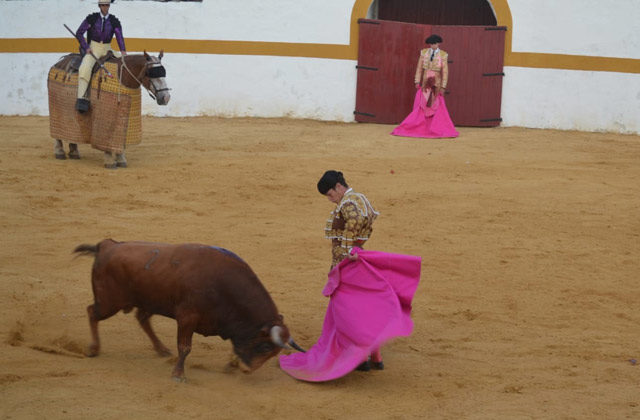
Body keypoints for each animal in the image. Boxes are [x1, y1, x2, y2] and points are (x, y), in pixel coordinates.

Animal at [74, 240, 304, 380]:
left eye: (273, 352)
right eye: (265, 347)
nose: (246, 371)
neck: (224, 286)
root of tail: (107, 245)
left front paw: (230, 364)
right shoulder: (187, 318)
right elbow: (185, 347)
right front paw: (178, 375)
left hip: (150, 301)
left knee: (142, 318)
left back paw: (161, 349)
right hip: (109, 303)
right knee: (92, 312)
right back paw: (93, 349)